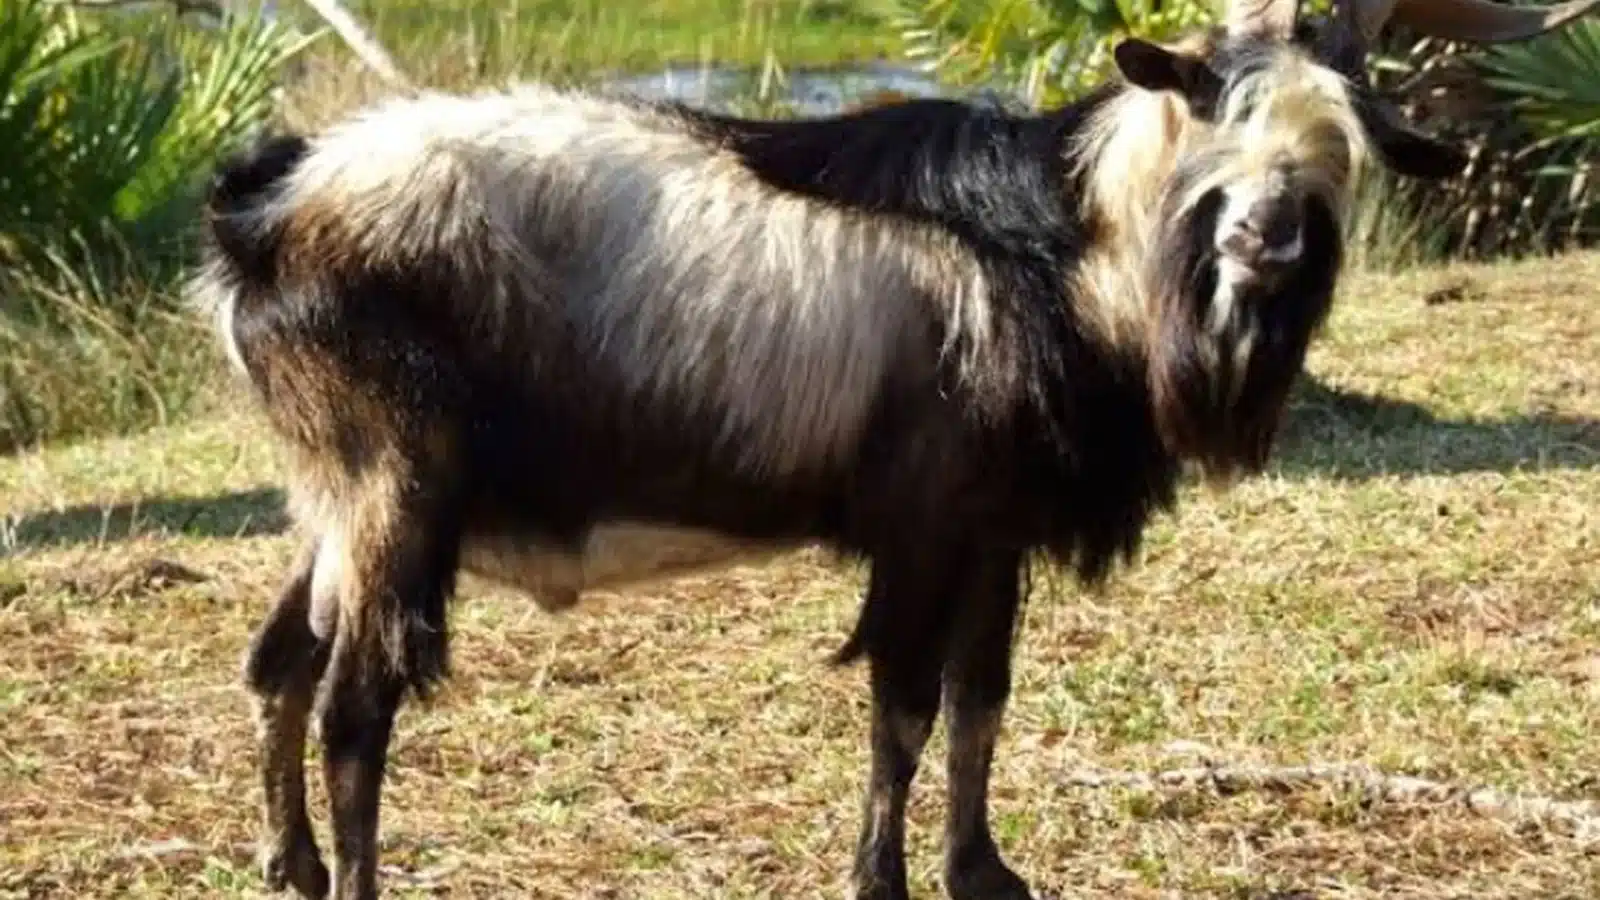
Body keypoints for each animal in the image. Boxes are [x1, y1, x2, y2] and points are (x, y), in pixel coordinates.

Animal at [191, 0, 1600, 897]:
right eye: (1214, 109)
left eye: (1340, 145)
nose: (1265, 237)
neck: (1071, 251)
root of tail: (268, 204)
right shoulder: (924, 523)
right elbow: (905, 705)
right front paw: (883, 879)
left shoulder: (994, 533)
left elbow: (982, 699)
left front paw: (983, 870)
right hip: (398, 490)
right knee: (354, 706)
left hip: (333, 501)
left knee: (277, 662)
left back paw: (289, 866)